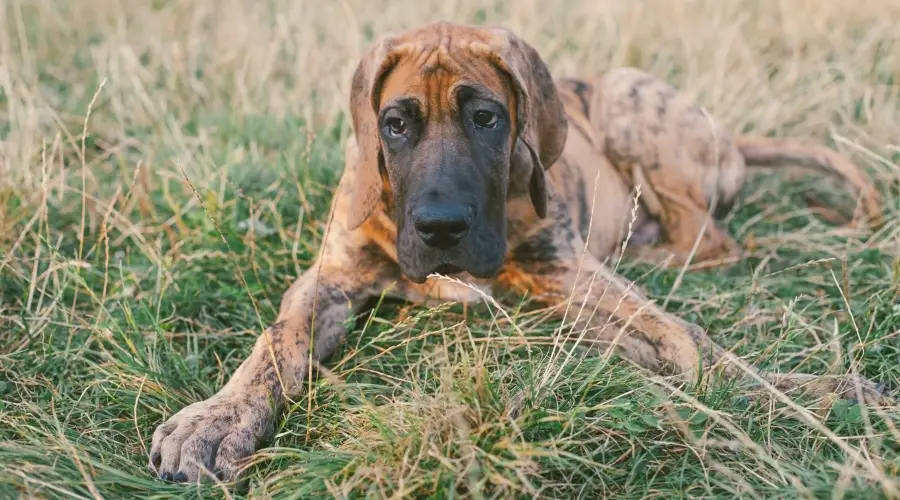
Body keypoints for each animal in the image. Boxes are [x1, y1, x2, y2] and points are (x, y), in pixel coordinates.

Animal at [148, 21, 884, 482]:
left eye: (487, 119)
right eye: (396, 124)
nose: (441, 226)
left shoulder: (570, 274)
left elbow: (687, 340)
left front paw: (809, 392)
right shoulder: (329, 279)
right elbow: (278, 343)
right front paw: (215, 421)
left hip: (628, 101)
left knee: (711, 241)